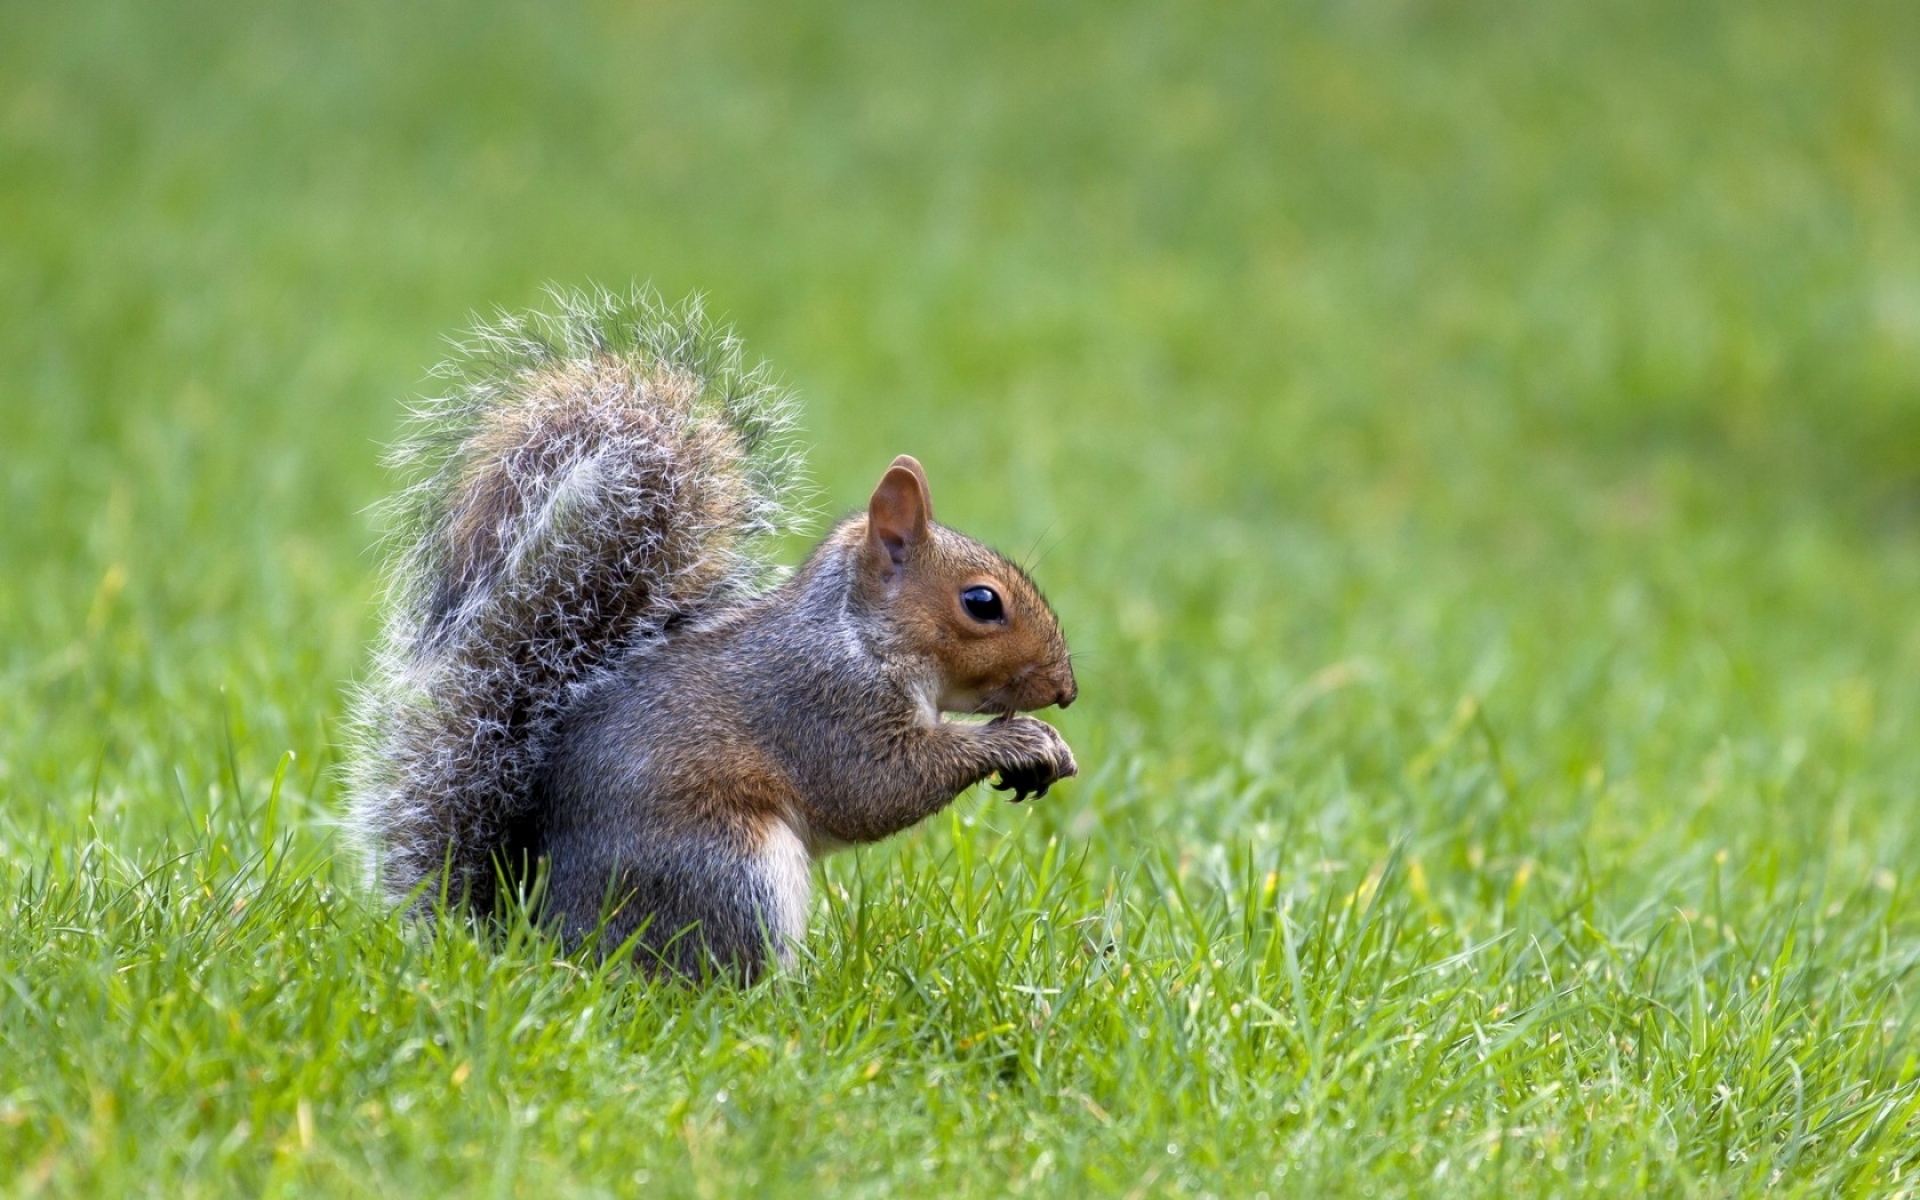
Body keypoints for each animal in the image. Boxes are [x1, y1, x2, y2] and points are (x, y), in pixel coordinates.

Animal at [345, 286, 1082, 979]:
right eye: (982, 603)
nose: (1067, 690)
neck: (858, 635)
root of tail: (542, 938)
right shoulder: (825, 708)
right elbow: (876, 789)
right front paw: (1021, 741)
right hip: (730, 869)